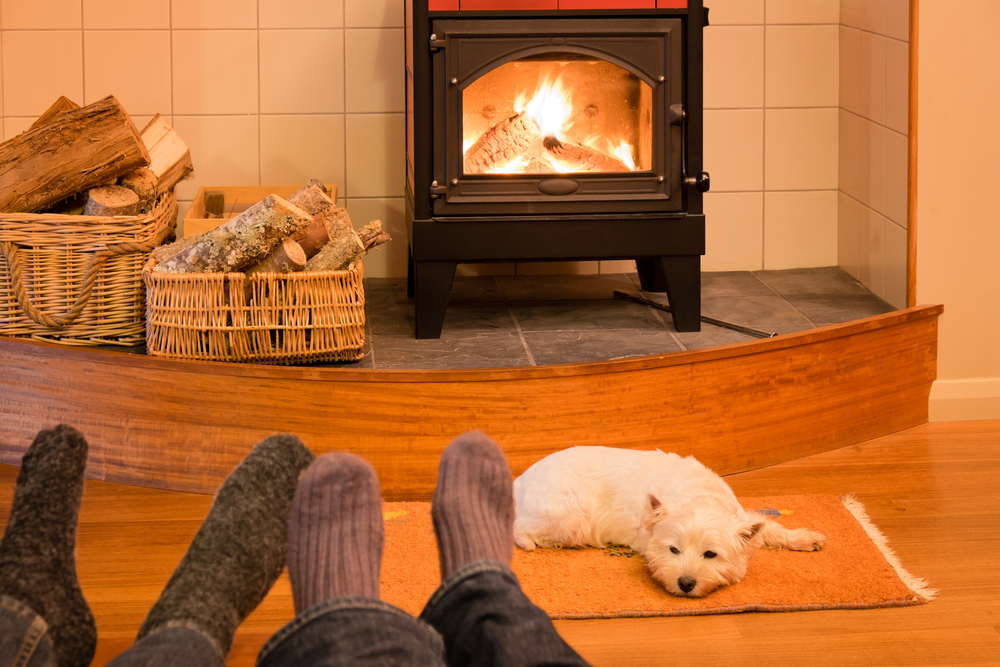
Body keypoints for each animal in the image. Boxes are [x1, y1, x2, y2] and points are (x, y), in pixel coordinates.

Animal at [516, 446, 828, 596]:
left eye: (710, 554)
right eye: (673, 550)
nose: (686, 583)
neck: (700, 495)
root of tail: (518, 481)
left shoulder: (744, 518)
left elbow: (770, 528)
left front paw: (808, 538)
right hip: (570, 513)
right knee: (523, 530)